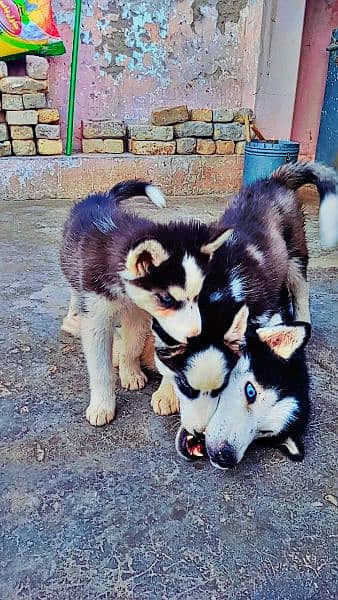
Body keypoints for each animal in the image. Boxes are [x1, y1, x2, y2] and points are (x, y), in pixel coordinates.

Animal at [60, 179, 230, 426]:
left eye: (197, 296)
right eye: (167, 298)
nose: (194, 335)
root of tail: (102, 197)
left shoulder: (138, 313)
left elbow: (133, 345)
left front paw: (130, 372)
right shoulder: (96, 316)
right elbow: (101, 369)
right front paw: (102, 406)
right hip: (72, 269)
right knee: (74, 292)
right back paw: (73, 312)